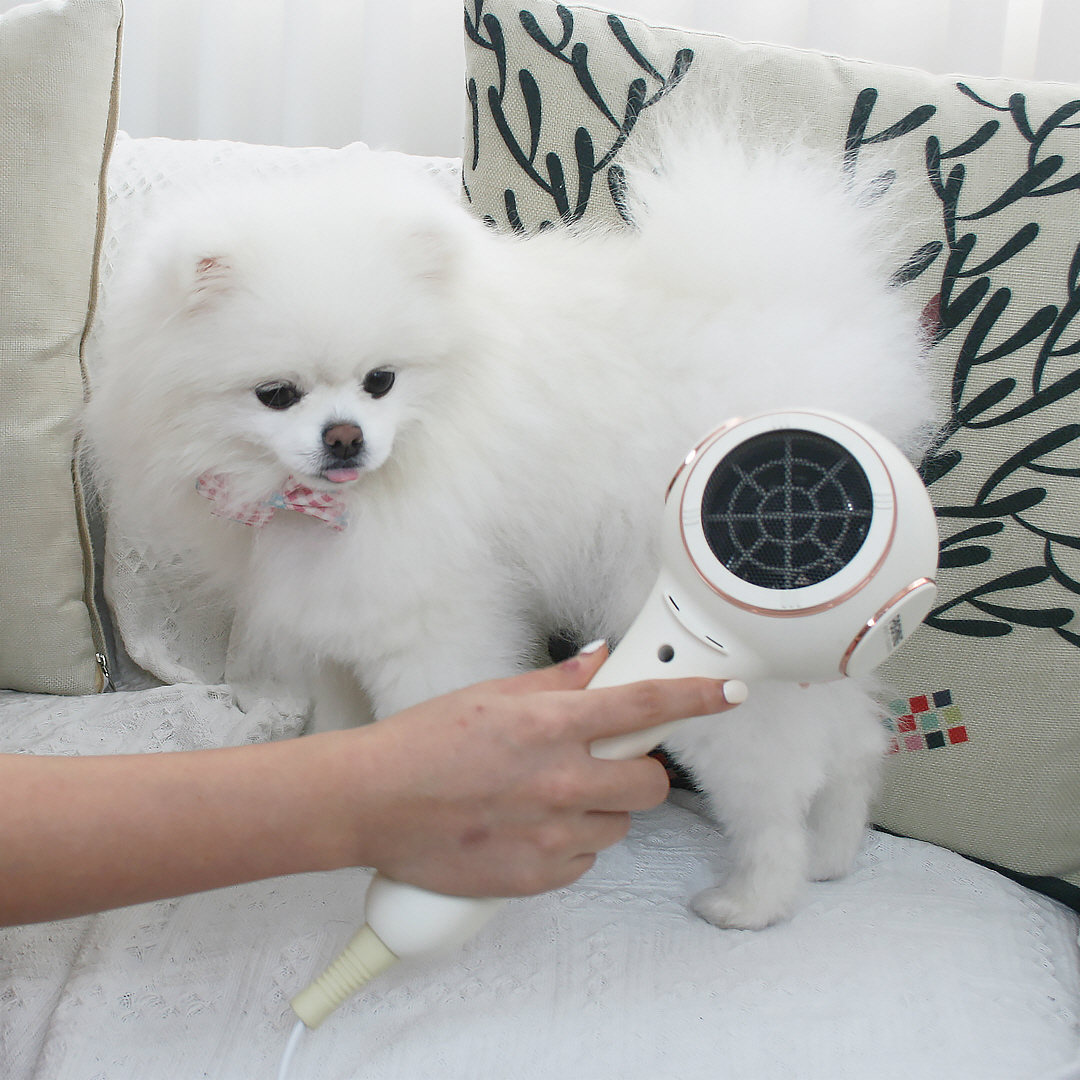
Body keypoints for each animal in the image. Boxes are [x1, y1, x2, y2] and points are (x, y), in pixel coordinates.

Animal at [85, 130, 934, 929]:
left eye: (380, 382)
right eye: (276, 394)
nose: (345, 439)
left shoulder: (427, 621)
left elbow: (426, 727)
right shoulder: (336, 610)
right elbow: (347, 730)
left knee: (775, 773)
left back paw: (758, 897)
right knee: (850, 737)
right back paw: (832, 854)